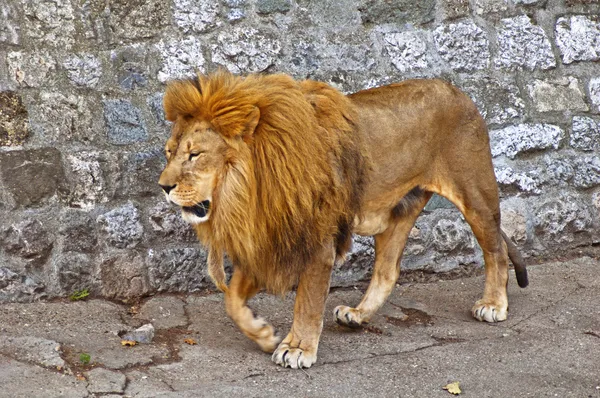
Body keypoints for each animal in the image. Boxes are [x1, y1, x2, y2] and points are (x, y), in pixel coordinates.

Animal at [157, 70, 528, 370]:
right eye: (169, 152)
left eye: (195, 155)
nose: (163, 186)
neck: (246, 192)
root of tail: (457, 90)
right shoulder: (268, 236)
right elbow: (231, 300)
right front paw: (263, 334)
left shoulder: (316, 242)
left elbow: (307, 302)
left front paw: (297, 348)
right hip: (397, 212)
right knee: (387, 271)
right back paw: (357, 315)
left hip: (475, 195)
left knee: (495, 250)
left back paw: (493, 305)